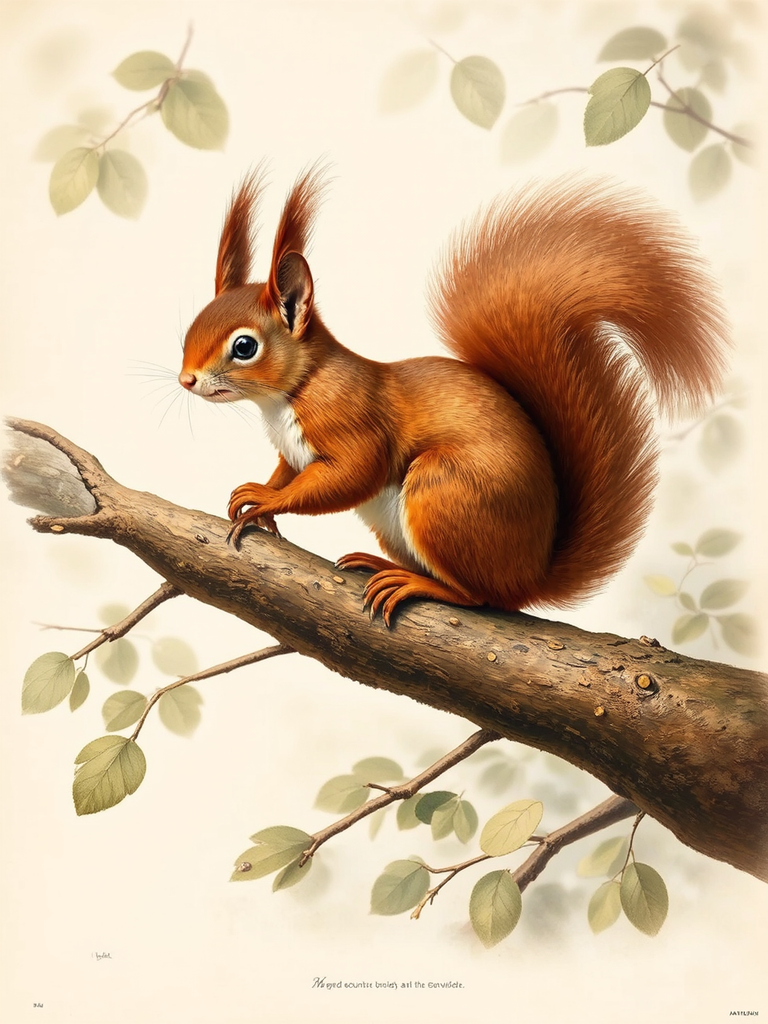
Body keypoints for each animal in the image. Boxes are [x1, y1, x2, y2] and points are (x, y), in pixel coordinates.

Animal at [179, 167, 729, 626]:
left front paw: (268, 502)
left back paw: (413, 583)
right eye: (191, 326)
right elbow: (287, 470)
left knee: (480, 597)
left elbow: (350, 474)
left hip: (442, 491)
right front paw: (255, 494)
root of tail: (531, 575)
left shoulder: (352, 420)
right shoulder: (291, 449)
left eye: (244, 347)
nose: (186, 380)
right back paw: (377, 564)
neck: (292, 390)